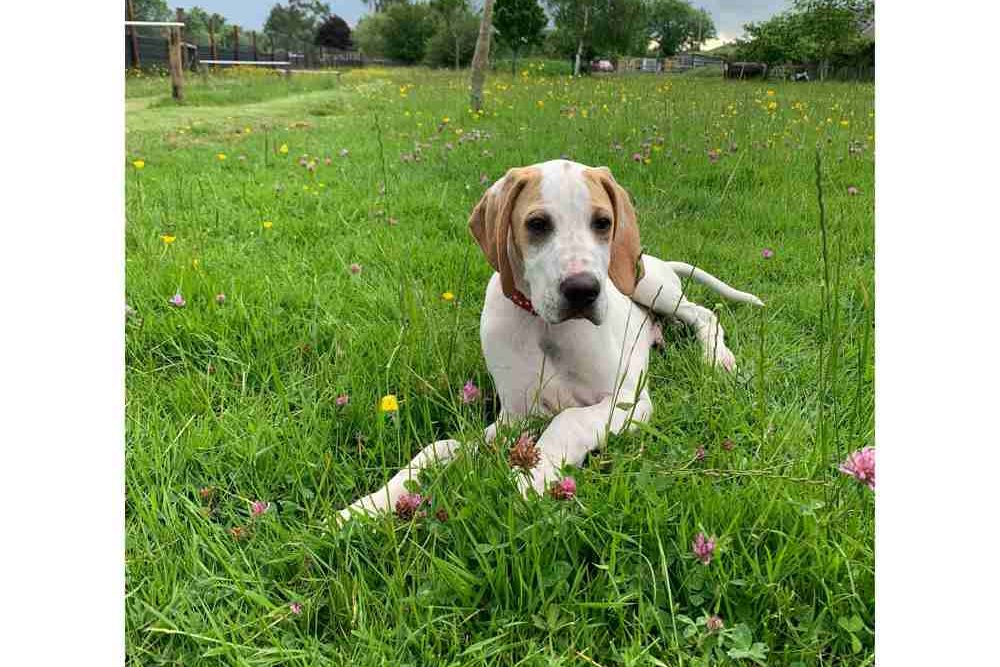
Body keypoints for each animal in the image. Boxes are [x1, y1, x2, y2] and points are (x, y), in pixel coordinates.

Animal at [340, 160, 760, 520]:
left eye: (602, 222)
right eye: (538, 224)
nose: (583, 290)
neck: (547, 330)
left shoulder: (628, 401)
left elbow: (569, 419)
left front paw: (531, 479)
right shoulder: (515, 417)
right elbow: (439, 448)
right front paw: (365, 507)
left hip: (649, 286)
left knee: (704, 314)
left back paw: (718, 359)